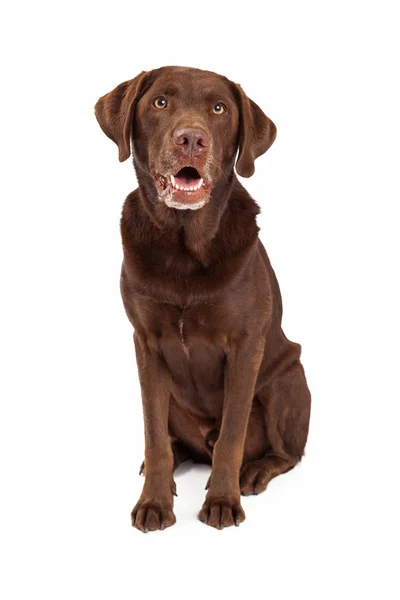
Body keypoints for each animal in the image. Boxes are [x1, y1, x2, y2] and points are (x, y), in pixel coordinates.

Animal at [94, 65, 312, 532]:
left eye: (219, 109)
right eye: (160, 101)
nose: (192, 139)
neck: (182, 246)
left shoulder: (246, 345)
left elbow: (231, 434)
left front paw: (224, 501)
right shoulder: (145, 344)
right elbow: (154, 435)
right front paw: (154, 502)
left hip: (288, 380)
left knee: (285, 453)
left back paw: (253, 473)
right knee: (174, 440)